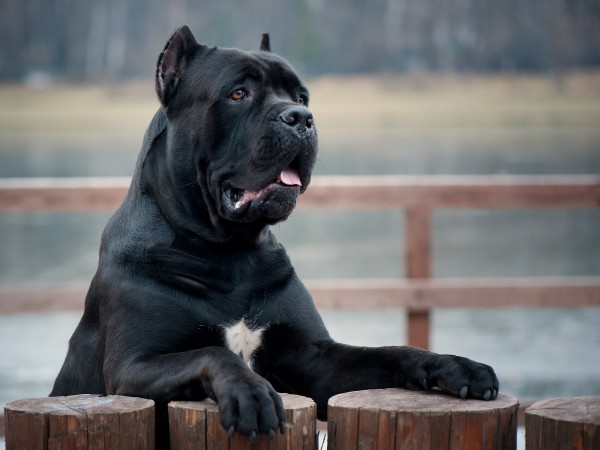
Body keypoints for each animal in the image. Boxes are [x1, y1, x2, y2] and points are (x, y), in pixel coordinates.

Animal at [51, 26, 500, 448]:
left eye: (301, 95)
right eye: (238, 93)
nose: (300, 117)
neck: (229, 251)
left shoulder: (312, 358)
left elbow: (390, 353)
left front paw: (455, 364)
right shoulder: (132, 367)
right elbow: (213, 352)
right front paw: (251, 394)